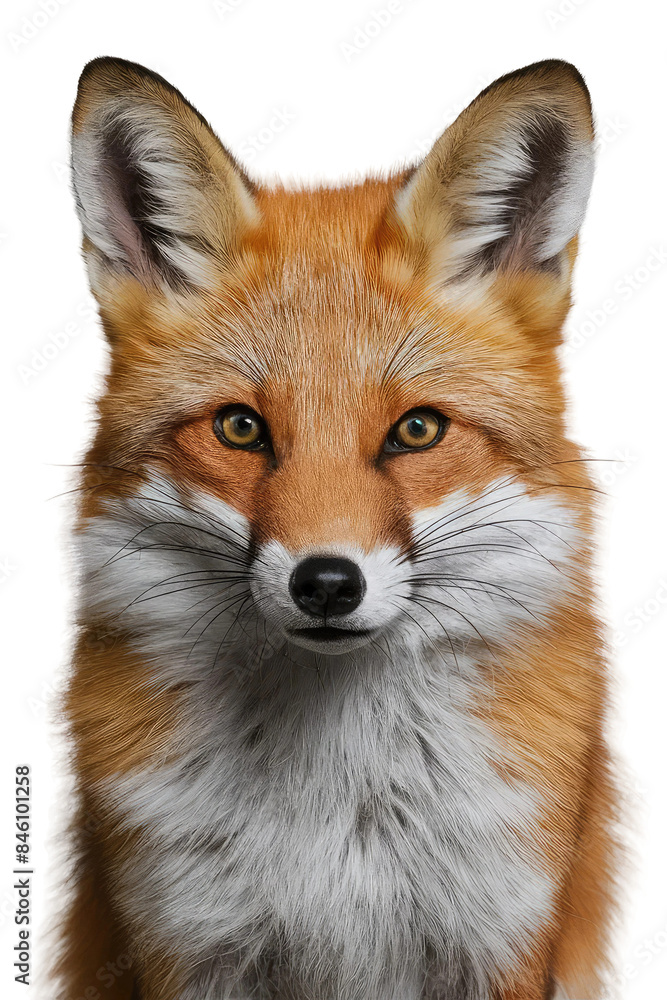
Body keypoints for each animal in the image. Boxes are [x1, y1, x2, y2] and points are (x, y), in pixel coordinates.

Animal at [53, 56, 619, 1000]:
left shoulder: (501, 937)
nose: (325, 583)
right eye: (239, 428)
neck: (339, 823)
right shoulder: (183, 944)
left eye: (416, 430)